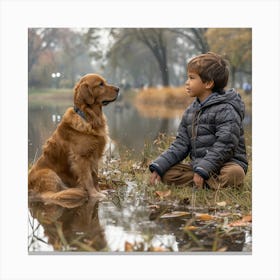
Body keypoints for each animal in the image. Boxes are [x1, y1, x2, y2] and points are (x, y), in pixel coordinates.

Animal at [28, 73, 119, 207]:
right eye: (100, 84)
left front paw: (99, 191)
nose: (118, 89)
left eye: (105, 82)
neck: (89, 118)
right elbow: (88, 178)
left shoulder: (94, 157)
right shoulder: (81, 158)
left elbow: (95, 177)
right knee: (53, 195)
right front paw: (95, 194)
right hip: (48, 172)